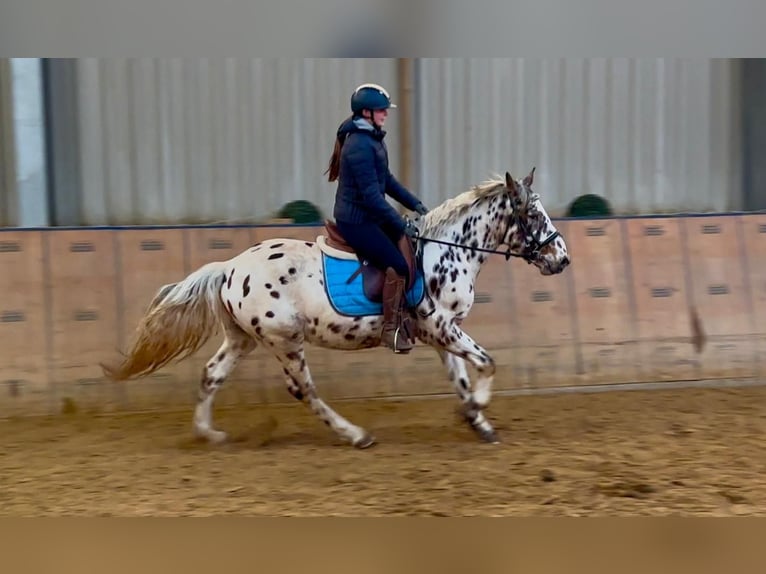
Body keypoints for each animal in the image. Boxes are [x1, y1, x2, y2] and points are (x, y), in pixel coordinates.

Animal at [100, 170, 568, 450]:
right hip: (285, 339)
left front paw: (477, 420)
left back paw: (208, 433)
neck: (445, 250)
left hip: (244, 339)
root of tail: (230, 267)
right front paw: (477, 411)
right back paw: (355, 434)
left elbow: (462, 379)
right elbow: (487, 363)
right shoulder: (438, 325)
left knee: (212, 375)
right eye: (532, 214)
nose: (561, 259)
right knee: (303, 389)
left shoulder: (441, 333)